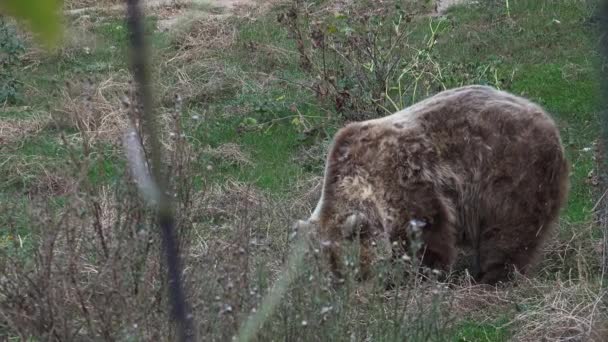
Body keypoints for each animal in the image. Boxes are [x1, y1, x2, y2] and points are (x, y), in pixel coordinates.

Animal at [298, 84, 568, 284]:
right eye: (331, 271)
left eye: (351, 268)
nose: (348, 288)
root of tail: (547, 119)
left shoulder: (405, 179)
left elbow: (427, 235)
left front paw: (420, 275)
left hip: (511, 174)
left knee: (507, 232)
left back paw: (493, 277)